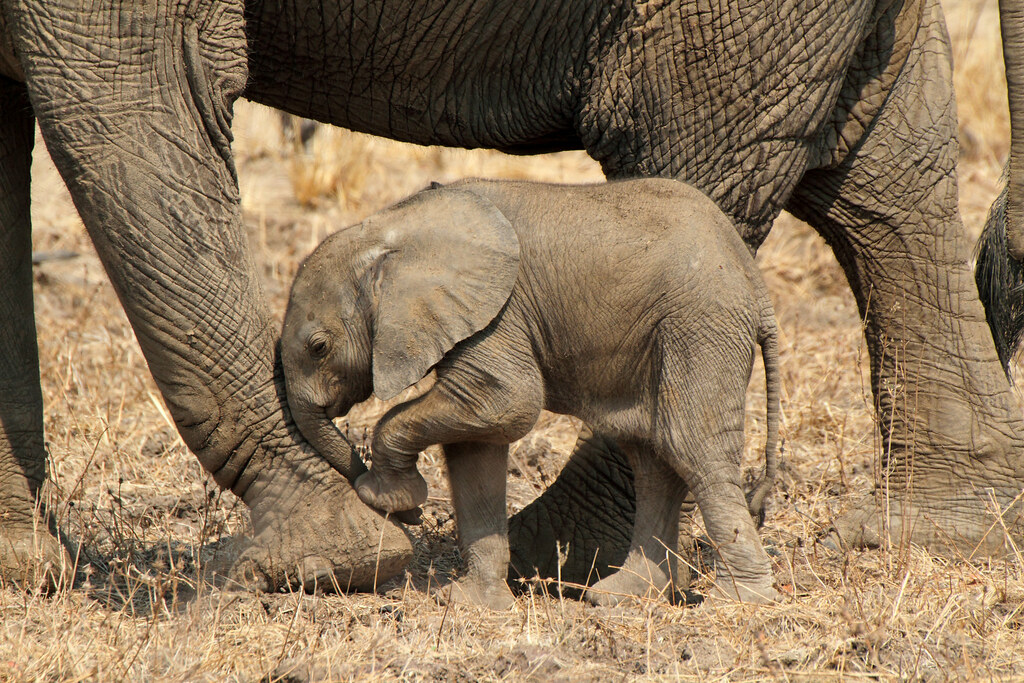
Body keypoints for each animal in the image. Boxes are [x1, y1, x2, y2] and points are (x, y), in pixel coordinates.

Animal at [284, 176, 778, 610]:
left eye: (319, 347)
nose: (413, 521)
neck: (390, 226)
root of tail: (755, 280)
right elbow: (476, 446)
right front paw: (470, 603)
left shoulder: (499, 315)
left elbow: (509, 404)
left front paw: (387, 497)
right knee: (652, 457)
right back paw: (623, 596)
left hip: (700, 323)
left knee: (691, 447)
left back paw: (740, 600)